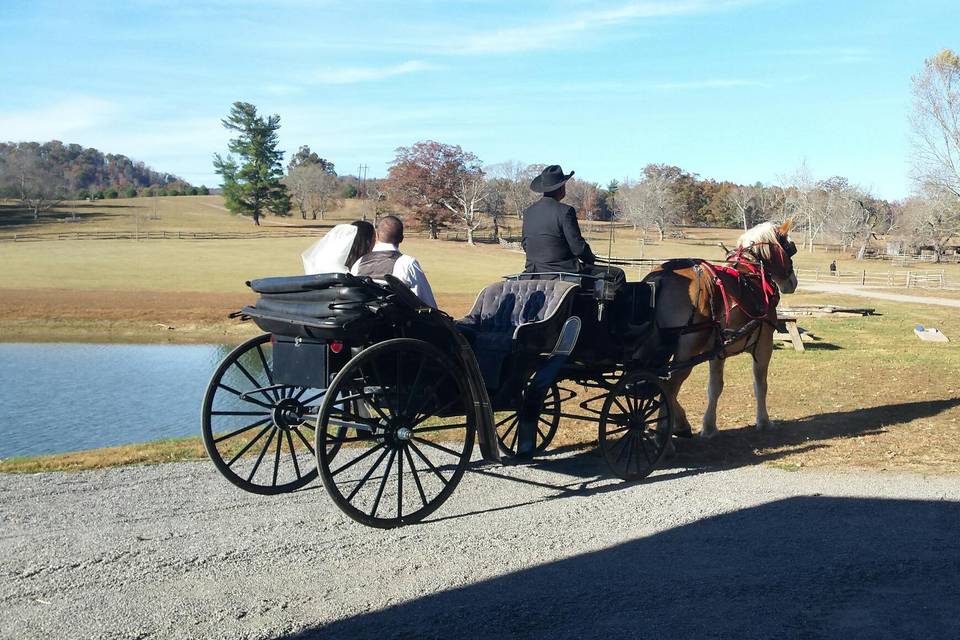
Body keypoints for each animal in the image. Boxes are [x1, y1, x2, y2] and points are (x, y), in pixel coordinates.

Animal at [648, 218, 800, 438]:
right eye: (790, 248)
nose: (793, 283)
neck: (754, 275)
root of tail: (660, 278)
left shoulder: (717, 351)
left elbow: (715, 387)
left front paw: (709, 426)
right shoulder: (764, 343)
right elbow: (760, 384)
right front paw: (764, 421)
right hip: (688, 349)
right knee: (669, 385)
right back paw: (664, 432)